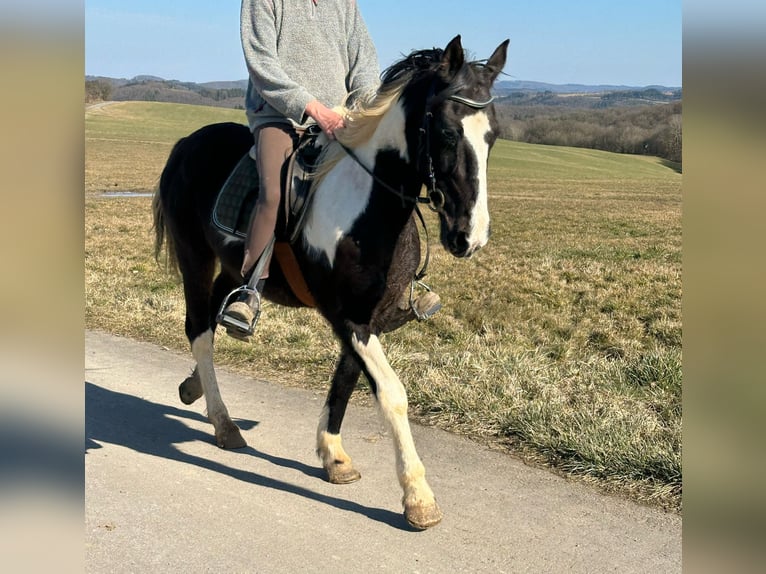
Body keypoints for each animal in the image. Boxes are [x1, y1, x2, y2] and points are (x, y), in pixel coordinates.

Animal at [150, 36, 510, 532]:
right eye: (448, 133)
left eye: (492, 136)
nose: (468, 237)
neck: (369, 209)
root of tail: (187, 143)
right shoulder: (348, 317)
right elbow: (391, 393)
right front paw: (418, 496)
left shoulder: (368, 317)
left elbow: (346, 377)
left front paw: (334, 456)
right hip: (195, 259)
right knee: (199, 330)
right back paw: (223, 424)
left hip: (233, 267)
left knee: (221, 310)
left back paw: (194, 386)